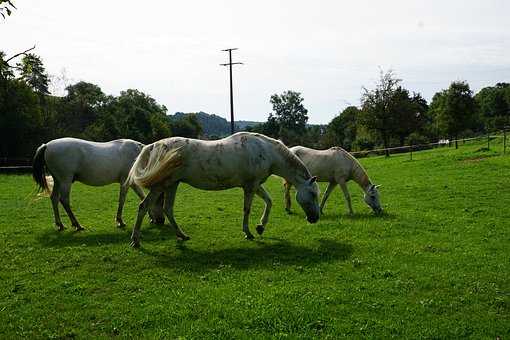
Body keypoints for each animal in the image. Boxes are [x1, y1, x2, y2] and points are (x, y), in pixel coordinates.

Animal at [32, 138, 163, 231]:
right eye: (160, 203)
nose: (161, 221)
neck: (137, 155)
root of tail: (47, 145)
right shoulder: (125, 182)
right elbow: (122, 200)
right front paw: (120, 221)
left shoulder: (132, 183)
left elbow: (141, 196)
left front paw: (150, 217)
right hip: (65, 181)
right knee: (64, 200)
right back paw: (77, 224)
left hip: (58, 181)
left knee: (54, 198)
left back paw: (60, 224)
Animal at [126, 131, 318, 247]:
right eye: (313, 193)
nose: (315, 218)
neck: (265, 151)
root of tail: (152, 146)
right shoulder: (250, 186)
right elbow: (247, 209)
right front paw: (248, 232)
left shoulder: (255, 185)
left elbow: (269, 201)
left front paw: (260, 227)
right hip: (161, 185)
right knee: (144, 206)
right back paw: (135, 240)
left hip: (172, 184)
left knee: (168, 209)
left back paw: (182, 235)